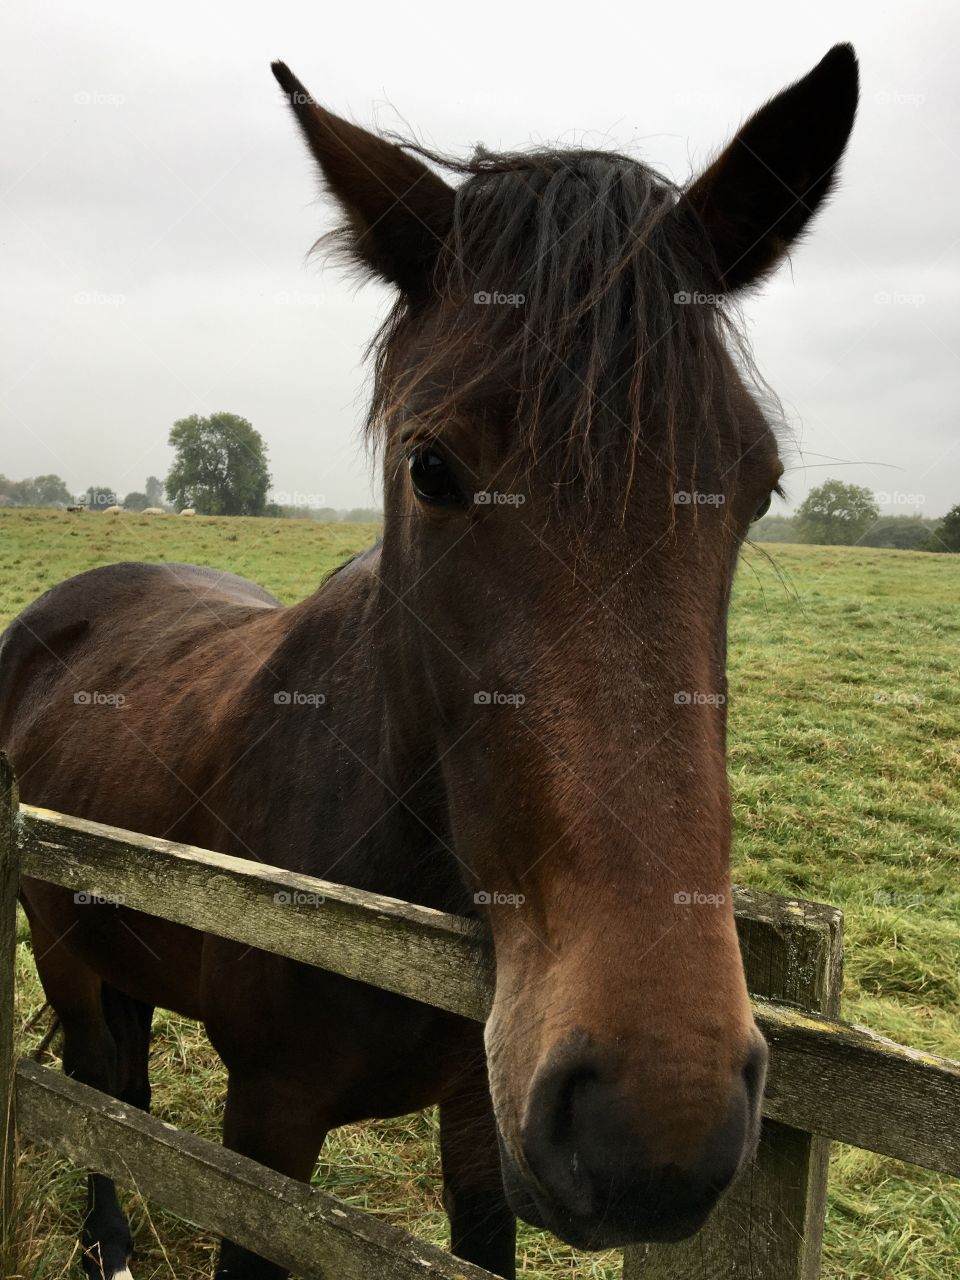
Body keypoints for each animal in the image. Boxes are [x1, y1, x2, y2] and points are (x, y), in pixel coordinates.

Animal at [0, 45, 855, 1280]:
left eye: (761, 484)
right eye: (432, 467)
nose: (657, 1122)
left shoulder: (476, 1116)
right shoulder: (269, 1126)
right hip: (60, 944)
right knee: (95, 1088)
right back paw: (108, 1241)